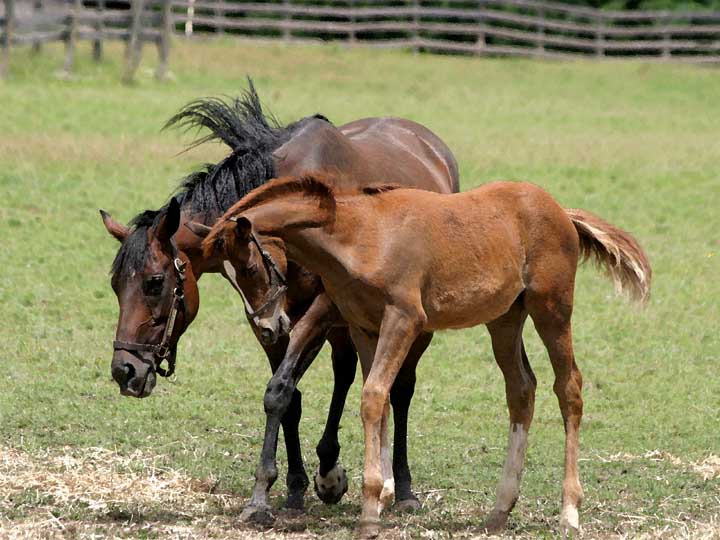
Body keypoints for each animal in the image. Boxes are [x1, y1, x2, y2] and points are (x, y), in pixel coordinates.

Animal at [99, 82, 458, 520]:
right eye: (116, 285)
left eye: (154, 282)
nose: (125, 371)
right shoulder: (270, 321)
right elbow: (289, 398)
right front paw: (295, 487)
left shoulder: (319, 309)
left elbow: (279, 392)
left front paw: (261, 495)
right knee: (346, 371)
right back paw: (329, 469)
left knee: (401, 388)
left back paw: (402, 488)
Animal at [202, 175, 652, 536]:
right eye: (228, 275)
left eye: (250, 268)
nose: (269, 326)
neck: (358, 235)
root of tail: (560, 211)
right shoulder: (365, 327)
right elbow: (379, 401)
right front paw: (381, 496)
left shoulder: (403, 319)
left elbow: (373, 397)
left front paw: (370, 512)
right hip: (505, 320)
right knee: (521, 389)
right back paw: (499, 510)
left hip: (552, 309)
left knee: (569, 388)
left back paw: (569, 513)